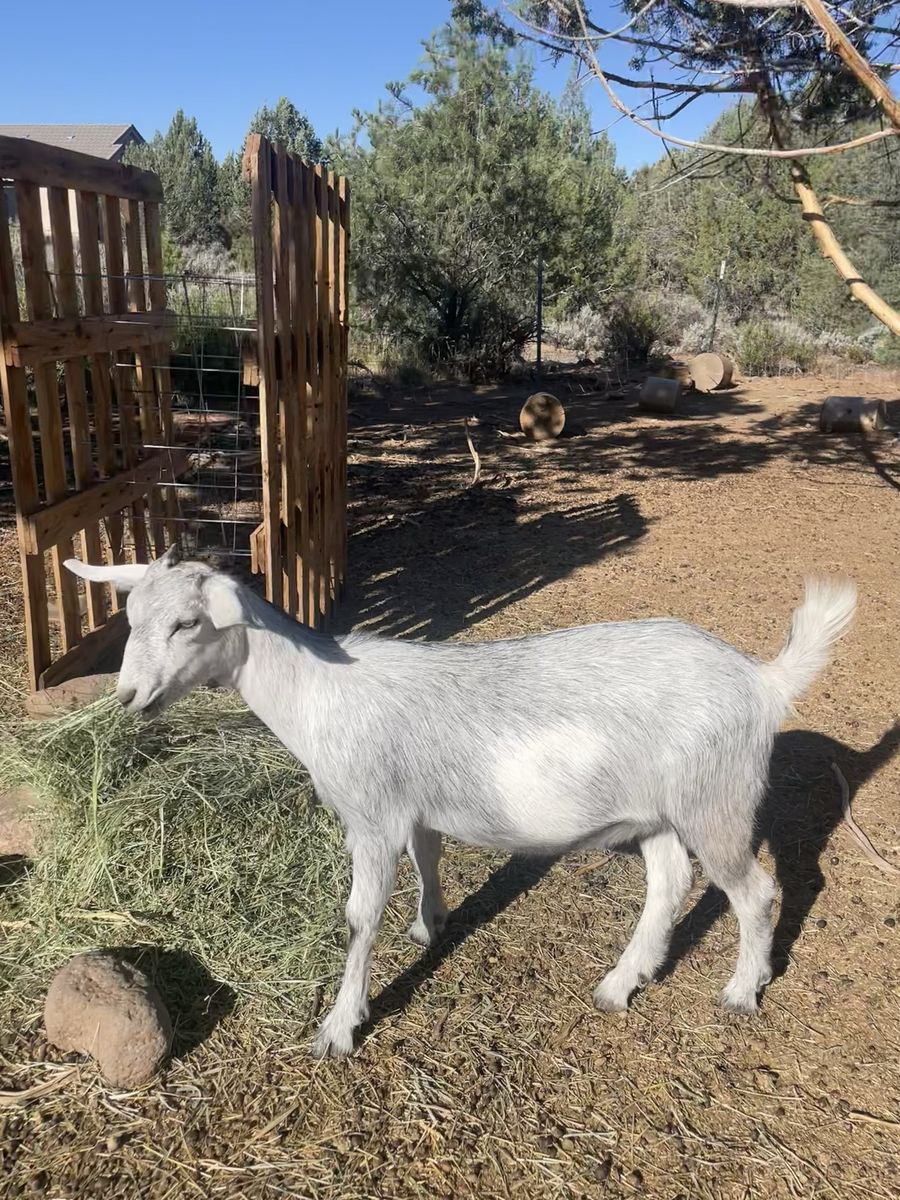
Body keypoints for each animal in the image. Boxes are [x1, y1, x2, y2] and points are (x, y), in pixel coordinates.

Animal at [65, 550, 856, 1057]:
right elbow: (429, 855)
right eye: (131, 616)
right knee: (670, 881)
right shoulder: (411, 806)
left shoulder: (372, 814)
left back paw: (742, 989)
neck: (318, 693)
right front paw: (430, 924)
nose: (128, 697)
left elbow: (358, 918)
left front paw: (340, 1027)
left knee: (755, 892)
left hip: (715, 800)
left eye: (187, 624)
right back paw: (621, 982)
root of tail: (762, 681)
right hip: (660, 809)